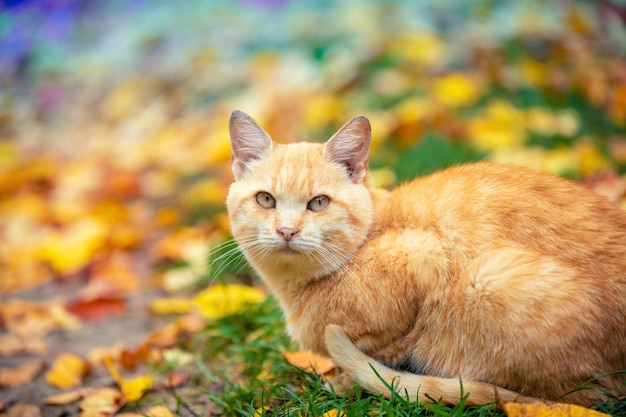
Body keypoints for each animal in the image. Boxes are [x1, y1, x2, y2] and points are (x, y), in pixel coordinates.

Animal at [227, 110, 624, 406]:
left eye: (319, 203)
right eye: (265, 200)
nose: (287, 230)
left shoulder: (424, 256)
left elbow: (385, 347)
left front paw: (346, 381)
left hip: (487, 279)